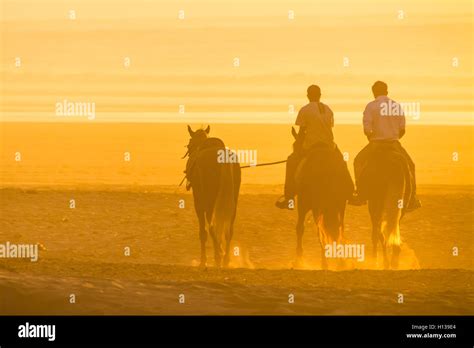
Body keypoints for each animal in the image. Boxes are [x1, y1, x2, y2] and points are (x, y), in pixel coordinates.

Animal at [182, 124, 241, 266]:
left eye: (189, 144)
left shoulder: (199, 204)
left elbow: (203, 232)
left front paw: (203, 260)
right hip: (233, 205)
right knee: (229, 230)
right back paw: (225, 259)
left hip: (209, 204)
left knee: (212, 228)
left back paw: (218, 257)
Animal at [290, 128, 354, 270]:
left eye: (294, 145)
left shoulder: (304, 204)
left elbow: (300, 228)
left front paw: (298, 260)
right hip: (339, 206)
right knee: (338, 229)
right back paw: (340, 262)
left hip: (315, 206)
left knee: (322, 231)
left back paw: (325, 262)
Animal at [362, 142, 412, 270]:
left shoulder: (372, 206)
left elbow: (375, 233)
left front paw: (375, 259)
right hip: (402, 204)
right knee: (394, 226)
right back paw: (394, 259)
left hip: (377, 203)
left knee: (380, 231)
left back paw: (385, 262)